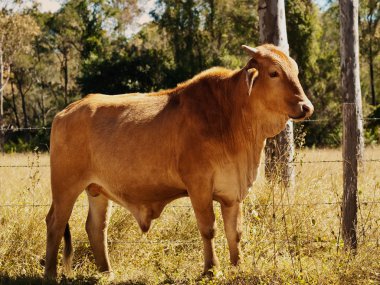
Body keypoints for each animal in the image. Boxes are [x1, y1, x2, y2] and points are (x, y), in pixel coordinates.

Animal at [44, 43, 314, 278]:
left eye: (295, 71)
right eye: (273, 73)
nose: (306, 107)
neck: (231, 114)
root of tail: (66, 111)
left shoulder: (232, 192)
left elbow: (234, 232)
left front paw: (238, 266)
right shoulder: (199, 185)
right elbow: (209, 228)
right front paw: (211, 269)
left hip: (97, 190)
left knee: (96, 228)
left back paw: (106, 272)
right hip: (65, 186)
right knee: (55, 223)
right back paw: (51, 273)